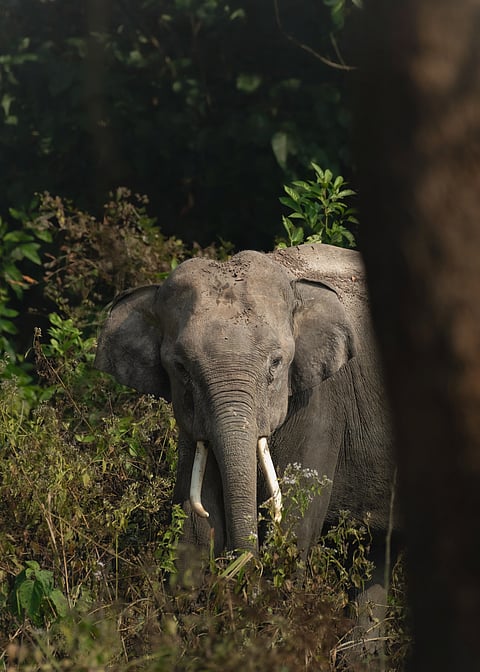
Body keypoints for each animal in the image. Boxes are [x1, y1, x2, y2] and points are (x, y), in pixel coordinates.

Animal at [94, 242, 397, 564]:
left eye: (276, 363)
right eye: (181, 368)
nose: (241, 560)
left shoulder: (320, 404)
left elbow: (295, 531)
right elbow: (194, 533)